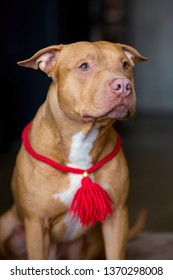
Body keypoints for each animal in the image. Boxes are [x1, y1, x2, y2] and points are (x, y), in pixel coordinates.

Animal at [0, 40, 147, 260]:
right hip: (6, 225)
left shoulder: (117, 215)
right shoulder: (36, 223)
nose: (123, 86)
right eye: (84, 66)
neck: (82, 140)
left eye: (125, 65)